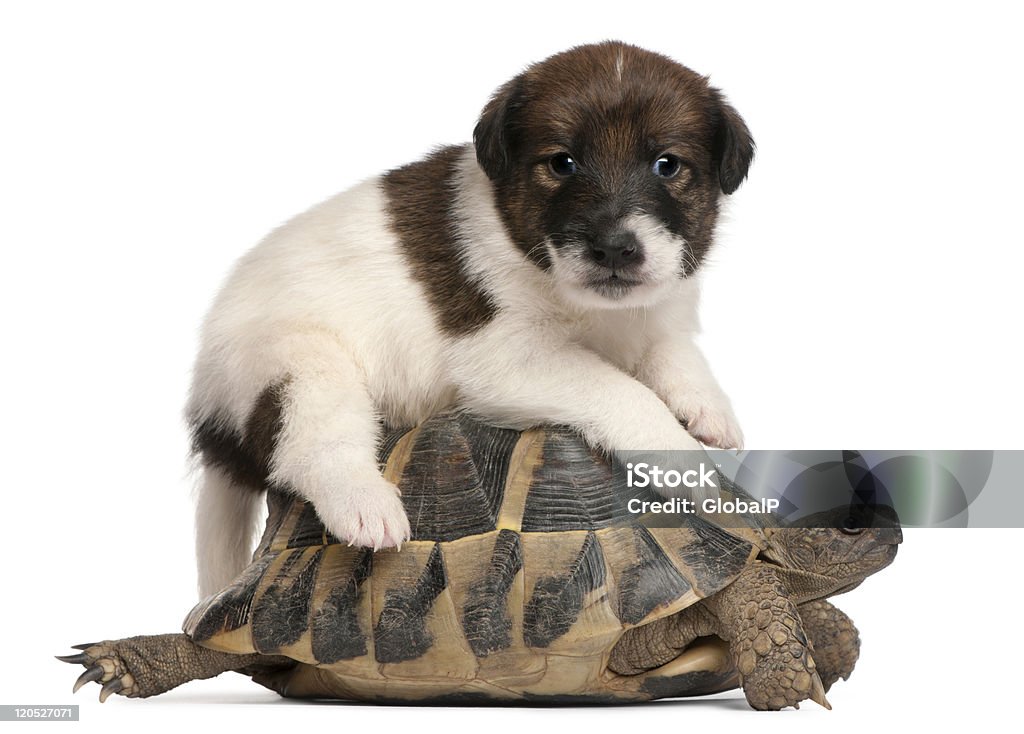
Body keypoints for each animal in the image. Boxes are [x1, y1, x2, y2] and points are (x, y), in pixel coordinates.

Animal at [190, 41, 753, 593]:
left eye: (667, 165)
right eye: (563, 163)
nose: (615, 248)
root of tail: (207, 413)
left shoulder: (655, 314)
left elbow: (673, 352)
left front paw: (710, 409)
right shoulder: (505, 359)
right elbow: (624, 393)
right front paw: (688, 466)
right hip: (296, 365)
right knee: (314, 445)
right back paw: (364, 504)